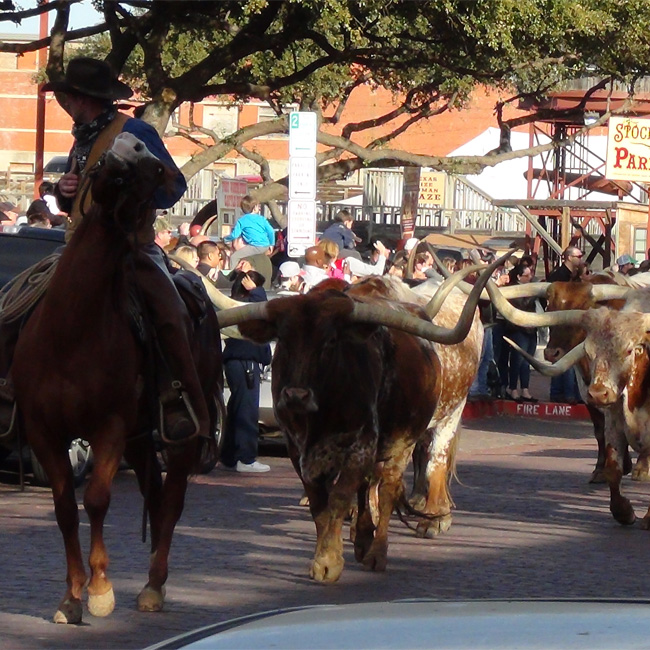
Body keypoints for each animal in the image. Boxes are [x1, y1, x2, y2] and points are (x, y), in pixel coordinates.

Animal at [10, 133, 220, 624]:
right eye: (102, 160)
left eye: (153, 167)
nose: (127, 147)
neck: (71, 331)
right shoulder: (45, 431)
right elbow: (65, 507)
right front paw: (71, 595)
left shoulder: (109, 429)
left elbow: (97, 500)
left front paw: (101, 589)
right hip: (142, 439)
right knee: (155, 495)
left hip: (176, 437)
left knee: (173, 499)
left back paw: (154, 586)